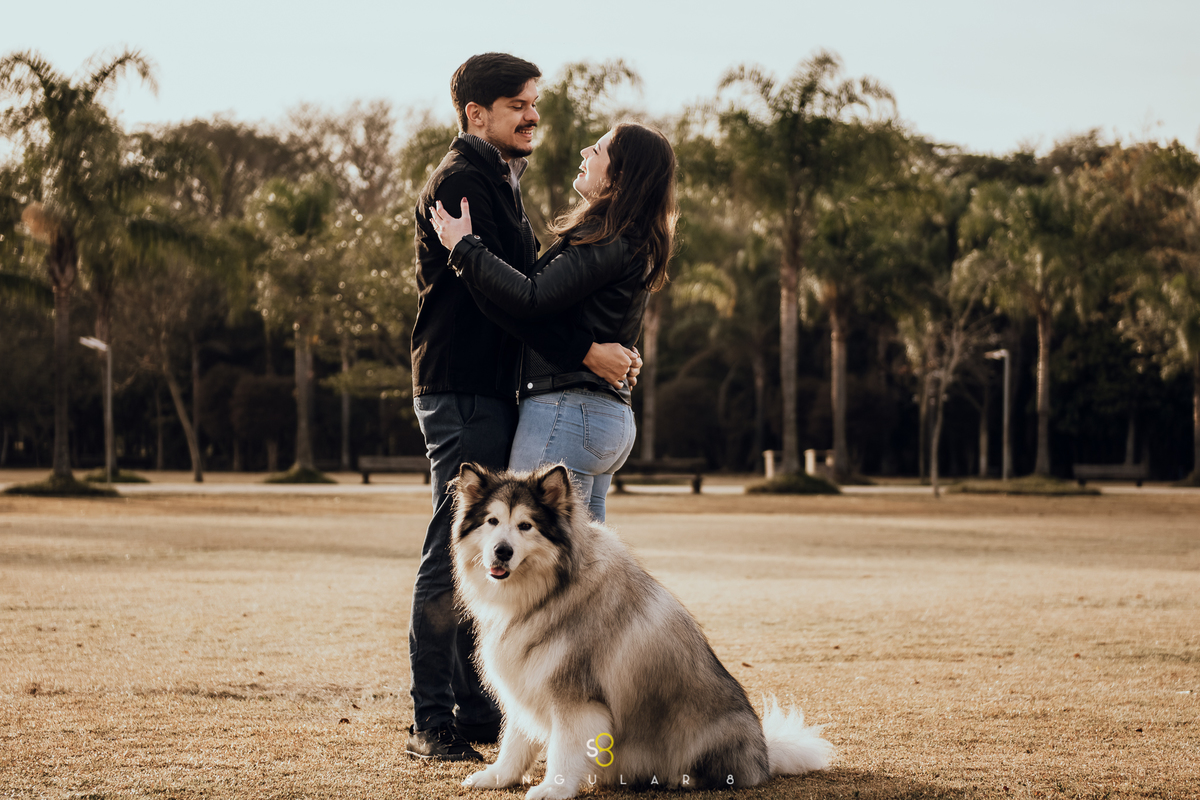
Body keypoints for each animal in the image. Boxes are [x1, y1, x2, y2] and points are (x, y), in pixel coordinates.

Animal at [449, 463, 834, 799]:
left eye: (525, 525)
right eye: (492, 521)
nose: (501, 551)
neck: (548, 593)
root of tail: (764, 758)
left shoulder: (576, 698)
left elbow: (563, 749)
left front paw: (553, 789)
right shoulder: (528, 677)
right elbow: (515, 741)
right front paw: (498, 777)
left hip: (711, 731)